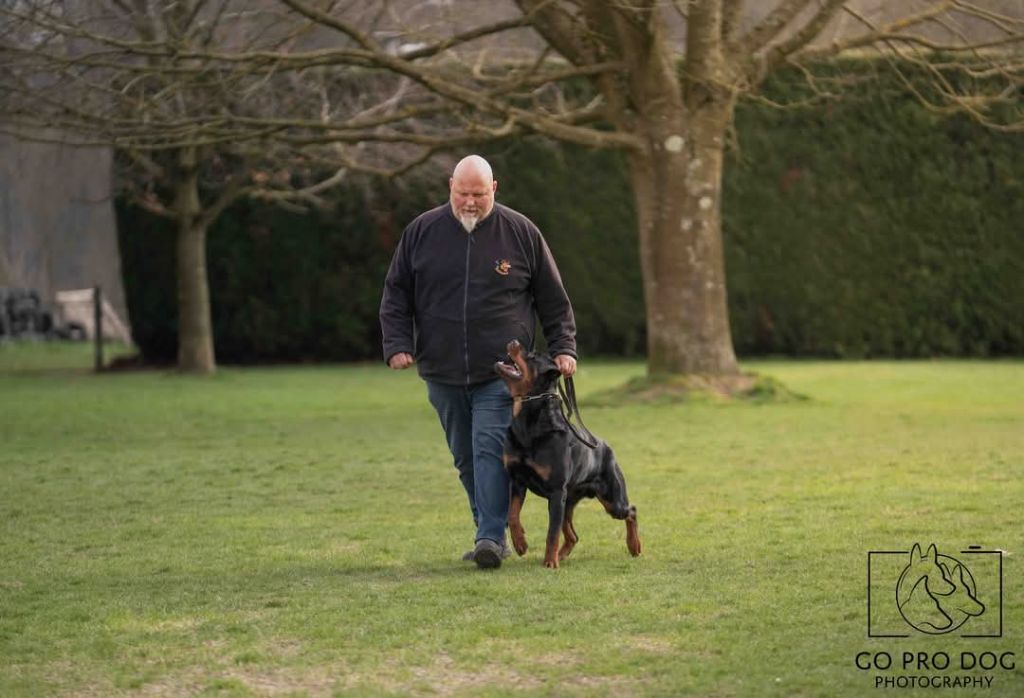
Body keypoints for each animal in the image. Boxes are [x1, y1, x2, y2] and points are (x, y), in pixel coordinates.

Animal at [493, 337, 638, 564]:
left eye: (532, 356)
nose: (514, 342)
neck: (529, 421)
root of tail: (606, 446)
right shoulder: (517, 481)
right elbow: (512, 514)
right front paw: (520, 544)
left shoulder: (555, 491)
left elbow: (551, 533)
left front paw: (550, 563)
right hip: (567, 501)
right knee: (572, 534)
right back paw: (561, 555)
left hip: (610, 498)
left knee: (631, 511)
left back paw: (634, 546)